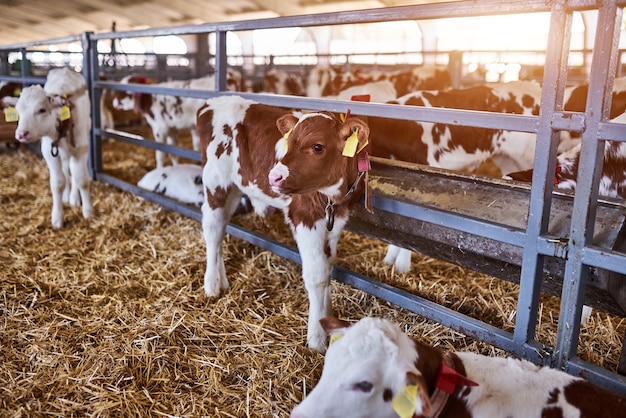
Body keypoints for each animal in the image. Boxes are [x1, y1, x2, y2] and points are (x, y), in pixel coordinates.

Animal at [197, 95, 368, 352]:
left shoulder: (335, 222)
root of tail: (212, 102)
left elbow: (327, 268)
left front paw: (327, 317)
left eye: (317, 146)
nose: (273, 177)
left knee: (222, 227)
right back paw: (211, 284)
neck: (333, 199)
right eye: (289, 143)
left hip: (236, 186)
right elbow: (317, 275)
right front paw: (317, 337)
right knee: (212, 227)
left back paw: (222, 279)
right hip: (216, 181)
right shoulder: (305, 217)